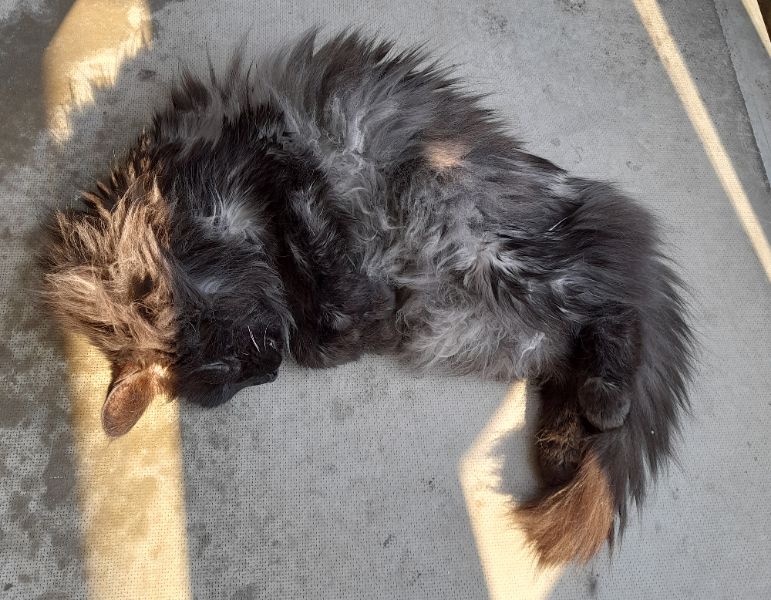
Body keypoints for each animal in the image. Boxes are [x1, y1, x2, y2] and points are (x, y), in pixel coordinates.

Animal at [40, 30, 694, 565]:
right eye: (233, 381)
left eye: (235, 356)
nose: (268, 372)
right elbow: (329, 326)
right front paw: (346, 319)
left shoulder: (272, 159)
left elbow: (311, 233)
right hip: (514, 329)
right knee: (573, 360)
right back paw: (562, 448)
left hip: (502, 255)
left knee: (615, 317)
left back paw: (598, 406)